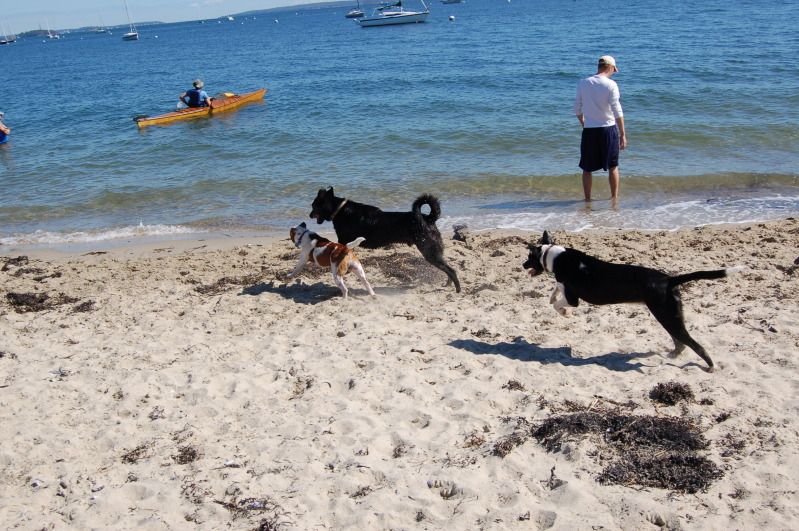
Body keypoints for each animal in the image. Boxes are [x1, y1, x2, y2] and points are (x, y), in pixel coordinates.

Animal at [312, 187, 462, 294]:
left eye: (313, 206)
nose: (309, 214)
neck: (339, 210)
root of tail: (428, 219)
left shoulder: (343, 242)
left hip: (429, 251)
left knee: (451, 270)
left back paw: (458, 290)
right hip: (434, 251)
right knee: (448, 268)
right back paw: (448, 284)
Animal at [524, 231, 744, 372]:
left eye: (529, 257)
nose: (523, 265)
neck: (554, 256)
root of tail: (668, 279)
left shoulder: (574, 298)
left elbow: (557, 304)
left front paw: (564, 312)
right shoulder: (562, 286)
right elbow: (555, 291)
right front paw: (553, 296)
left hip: (666, 315)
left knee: (694, 344)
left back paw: (710, 366)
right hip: (670, 315)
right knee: (680, 341)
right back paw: (673, 355)